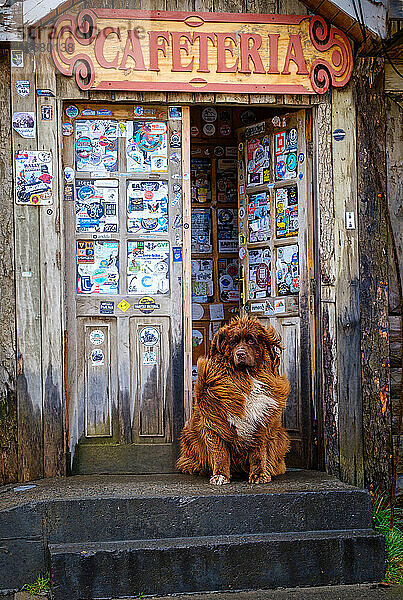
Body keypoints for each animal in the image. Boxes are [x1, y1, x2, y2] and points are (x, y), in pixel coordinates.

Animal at [178, 316, 290, 486]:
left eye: (251, 340)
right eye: (234, 342)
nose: (240, 353)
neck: (246, 377)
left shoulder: (262, 422)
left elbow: (259, 453)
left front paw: (259, 475)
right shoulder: (215, 422)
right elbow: (220, 453)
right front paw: (220, 475)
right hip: (189, 434)